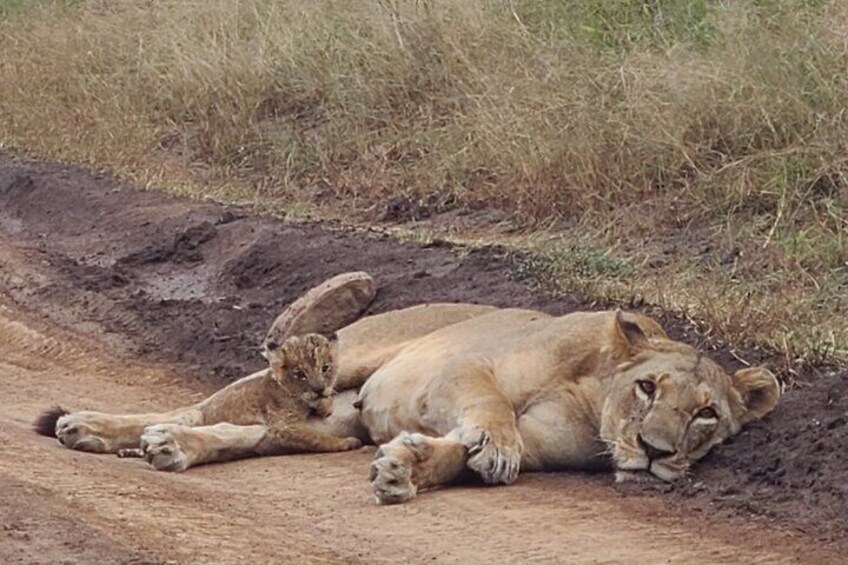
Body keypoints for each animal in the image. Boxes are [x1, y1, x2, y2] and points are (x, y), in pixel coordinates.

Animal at [35, 274, 781, 504]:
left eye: (706, 414)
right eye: (648, 387)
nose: (655, 453)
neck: (593, 394)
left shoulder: (539, 445)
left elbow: (458, 456)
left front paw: (404, 469)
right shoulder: (462, 368)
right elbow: (490, 412)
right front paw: (492, 447)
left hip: (326, 420)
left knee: (237, 433)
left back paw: (170, 448)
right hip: (345, 364)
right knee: (195, 406)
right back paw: (93, 427)